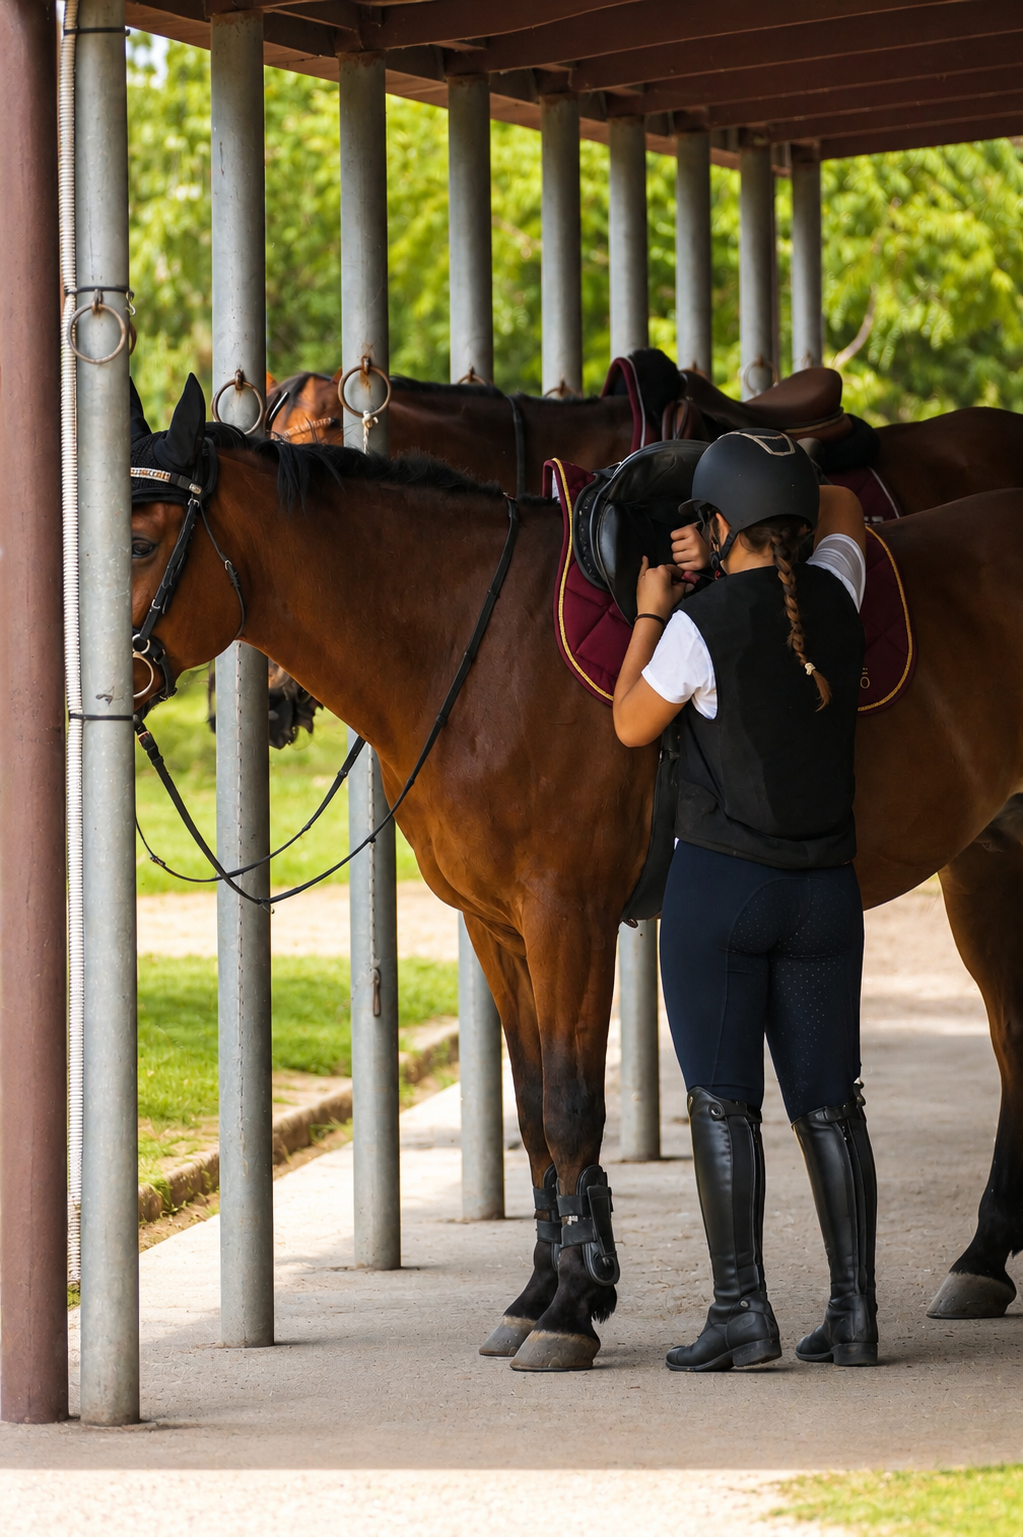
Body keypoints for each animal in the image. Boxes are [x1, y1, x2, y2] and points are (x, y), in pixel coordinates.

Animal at [130, 377, 1023, 1366]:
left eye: (139, 541)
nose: (254, 709)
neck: (473, 644)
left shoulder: (571, 916)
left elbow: (568, 1103)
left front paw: (571, 1306)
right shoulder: (499, 928)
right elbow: (529, 1110)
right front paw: (542, 1292)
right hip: (986, 863)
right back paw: (983, 1259)